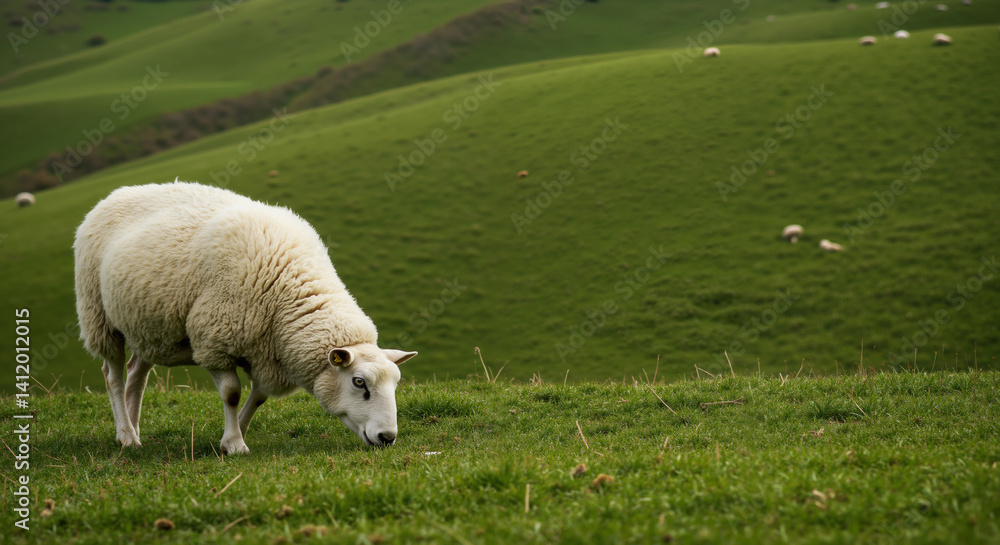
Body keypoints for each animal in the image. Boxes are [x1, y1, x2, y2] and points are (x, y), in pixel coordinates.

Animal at [74, 181, 417, 454]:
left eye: (396, 383)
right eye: (359, 382)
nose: (387, 437)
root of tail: (116, 193)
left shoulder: (270, 353)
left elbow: (259, 397)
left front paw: (230, 435)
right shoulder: (215, 341)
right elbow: (232, 393)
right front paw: (235, 443)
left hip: (148, 326)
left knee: (136, 375)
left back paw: (134, 430)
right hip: (99, 317)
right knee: (113, 375)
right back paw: (125, 435)